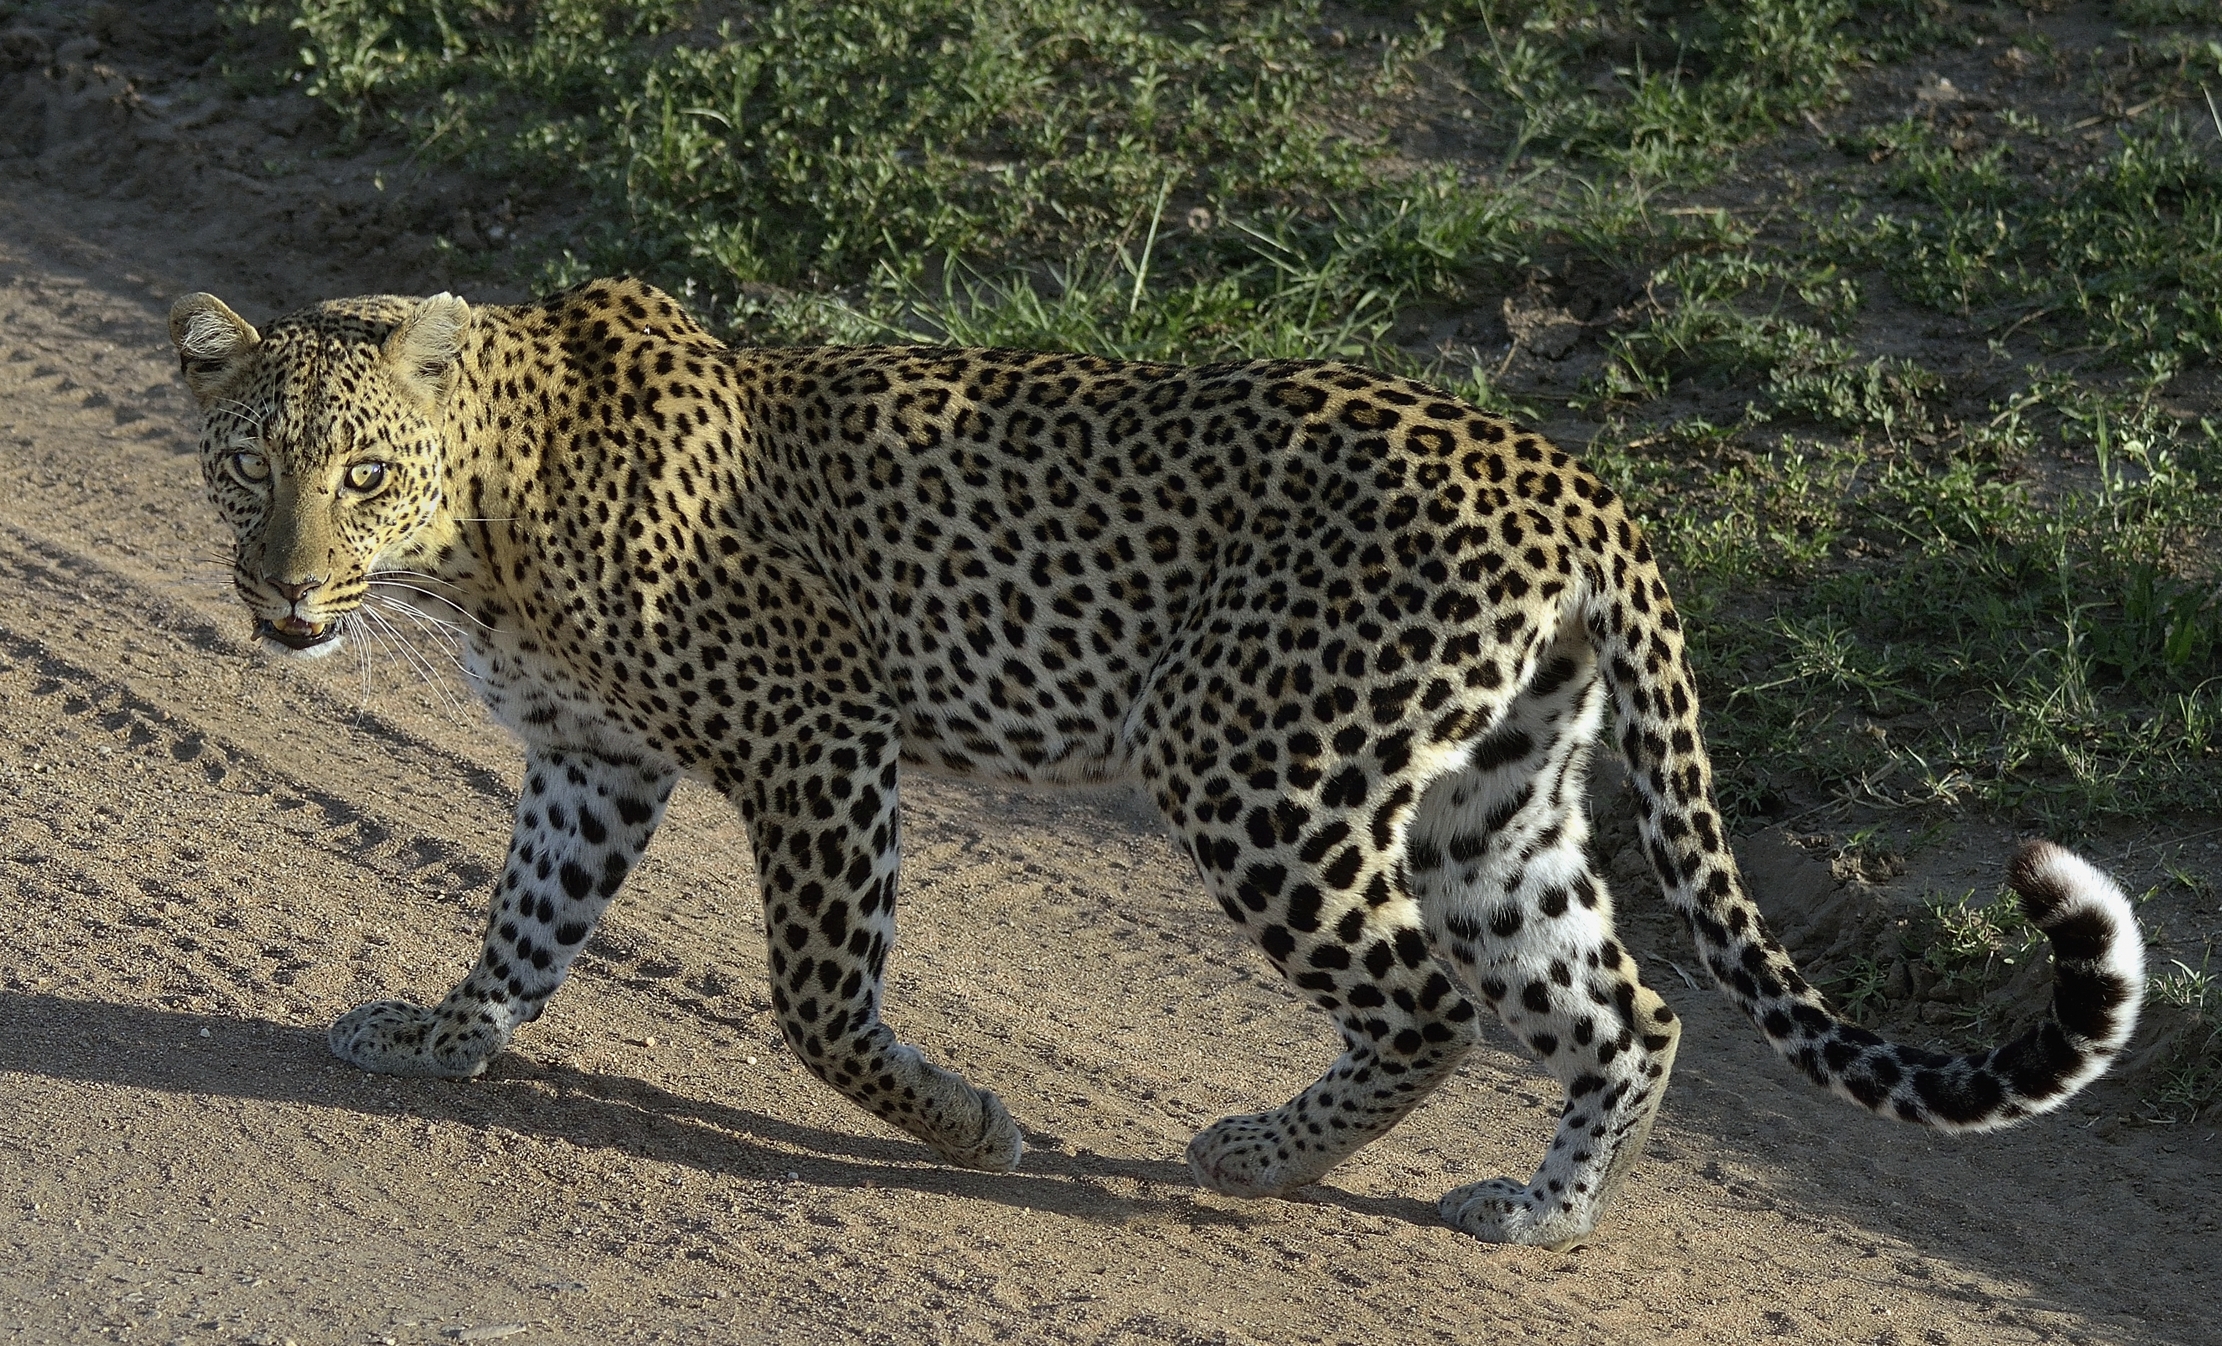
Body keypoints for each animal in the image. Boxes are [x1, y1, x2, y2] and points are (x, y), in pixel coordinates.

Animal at [167, 277, 2144, 1247]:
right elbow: (526, 921)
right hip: (1493, 802)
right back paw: (1542, 1213)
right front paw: (445, 1034)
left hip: (1259, 764)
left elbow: (815, 996)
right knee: (1622, 1005)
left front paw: (961, 1123)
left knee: (1430, 1001)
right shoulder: (592, 761)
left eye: (360, 472)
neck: (480, 532)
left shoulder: (820, 732)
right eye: (244, 466)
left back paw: (1266, 1155)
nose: (280, 593)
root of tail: (1581, 480)